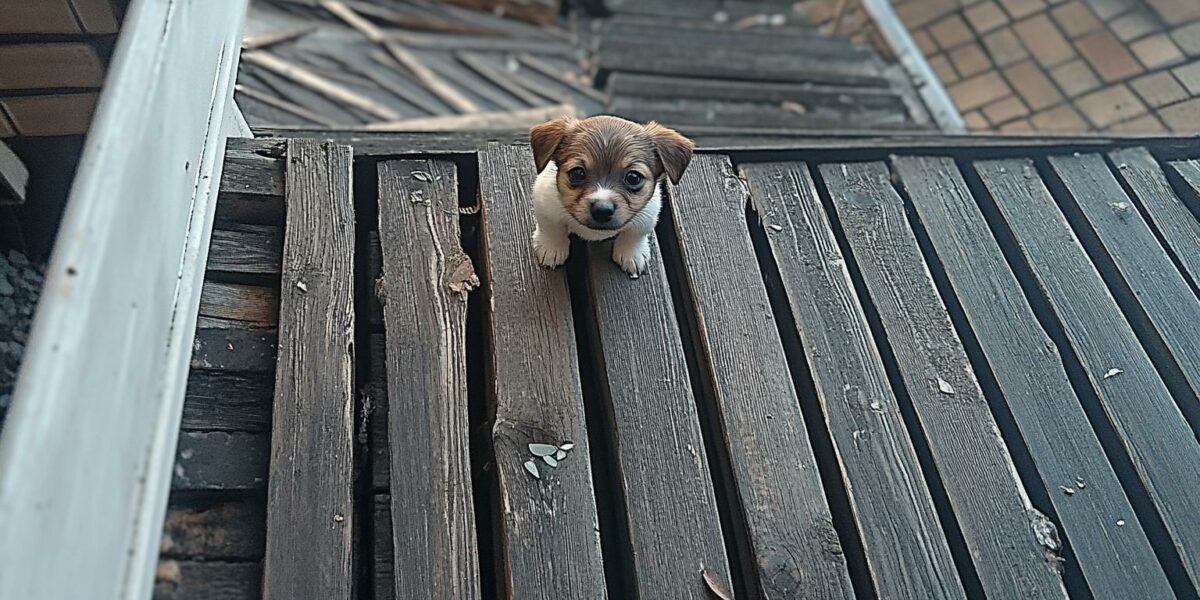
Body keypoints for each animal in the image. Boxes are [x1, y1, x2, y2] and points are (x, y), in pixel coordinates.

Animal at [528, 114, 696, 276]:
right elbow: (552, 229)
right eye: (577, 173)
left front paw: (631, 254)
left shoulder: (648, 214)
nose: (602, 211)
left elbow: (635, 234)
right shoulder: (546, 207)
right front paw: (552, 249)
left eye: (633, 178)